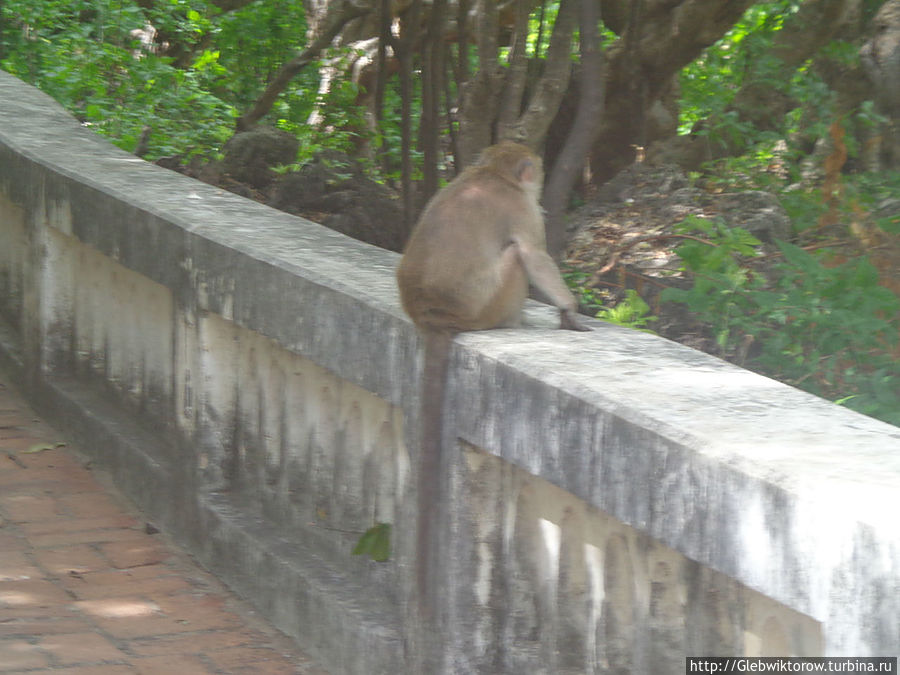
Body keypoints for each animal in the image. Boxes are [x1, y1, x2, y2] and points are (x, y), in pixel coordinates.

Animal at [398, 143, 588, 624]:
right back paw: (517, 320)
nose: (539, 177)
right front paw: (569, 309)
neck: (490, 174)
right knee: (518, 256)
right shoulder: (522, 208)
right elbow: (534, 254)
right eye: (533, 172)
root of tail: (433, 314)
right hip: (491, 302)